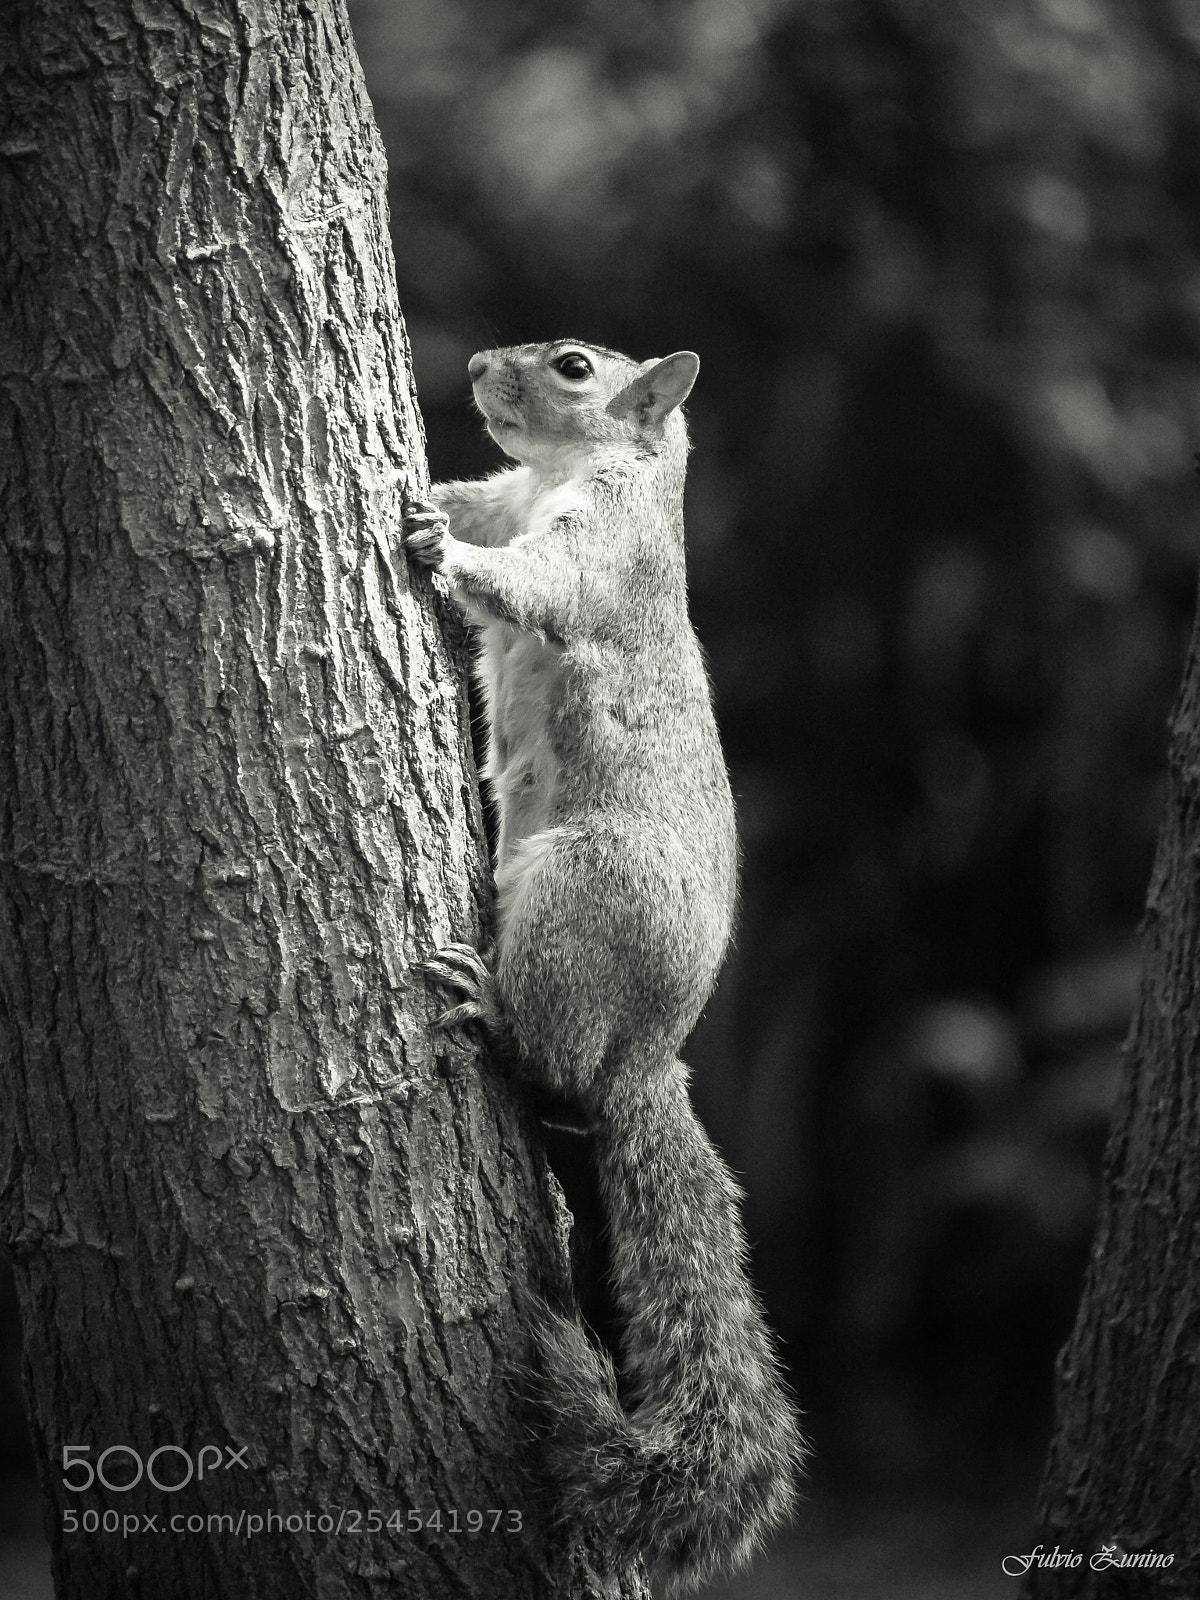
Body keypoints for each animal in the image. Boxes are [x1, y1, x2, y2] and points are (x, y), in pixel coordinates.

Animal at [402, 339, 805, 1589]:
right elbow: (476, 499)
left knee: (555, 1060)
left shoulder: (603, 556)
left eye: (574, 367)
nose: (477, 363)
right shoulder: (513, 492)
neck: (565, 472)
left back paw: (494, 1008)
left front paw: (445, 553)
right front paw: (429, 498)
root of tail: (649, 1055)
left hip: (581, 889)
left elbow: (537, 585)